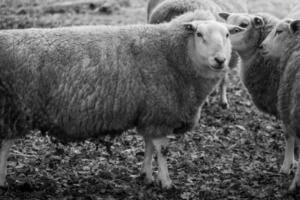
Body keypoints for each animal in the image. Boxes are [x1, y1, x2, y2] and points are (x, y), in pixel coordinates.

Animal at [0, 16, 241, 188]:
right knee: (5, 146)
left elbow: (148, 146)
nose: (220, 60)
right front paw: (166, 182)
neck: (175, 56)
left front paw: (146, 176)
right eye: (199, 34)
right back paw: (3, 182)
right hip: (13, 108)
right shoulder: (160, 113)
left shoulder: (149, 114)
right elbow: (162, 150)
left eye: (228, 34)